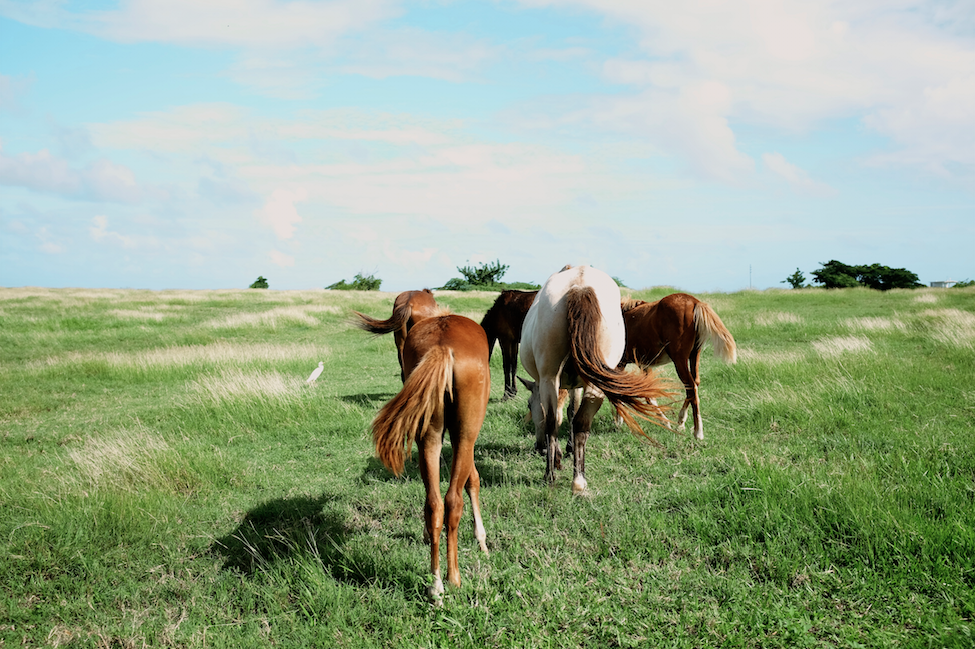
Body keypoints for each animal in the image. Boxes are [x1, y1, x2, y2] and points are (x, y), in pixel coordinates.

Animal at [371, 314, 491, 603]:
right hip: (465, 432)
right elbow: (473, 480)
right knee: (452, 502)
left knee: (434, 504)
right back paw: (453, 578)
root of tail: (442, 346)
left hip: (429, 436)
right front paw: (481, 539)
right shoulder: (466, 439)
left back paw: (435, 585)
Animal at [518, 265, 673, 494]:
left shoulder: (566, 384)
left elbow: (564, 414)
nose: (539, 448)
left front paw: (560, 455)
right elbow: (572, 414)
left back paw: (551, 475)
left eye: (530, 405)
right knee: (581, 423)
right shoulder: (575, 384)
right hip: (591, 383)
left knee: (553, 422)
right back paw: (578, 481)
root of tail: (581, 285)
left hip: (549, 378)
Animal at [618, 293, 737, 440]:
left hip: (679, 359)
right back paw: (681, 421)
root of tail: (694, 302)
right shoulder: (644, 364)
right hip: (694, 355)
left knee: (691, 386)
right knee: (694, 384)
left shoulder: (621, 363)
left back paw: (698, 432)